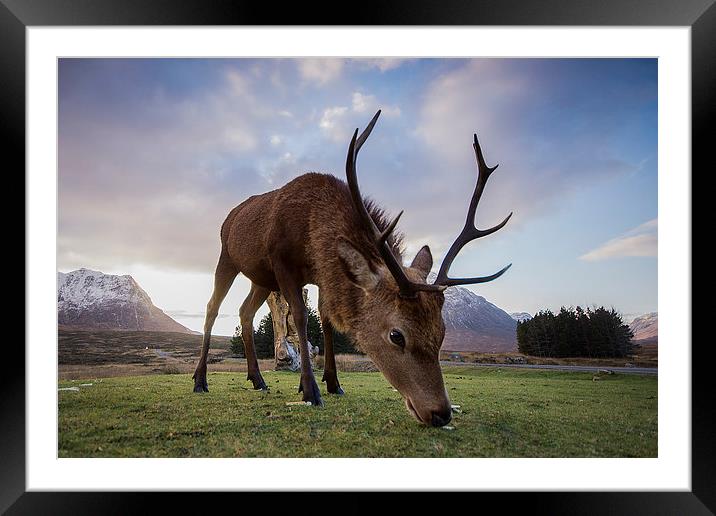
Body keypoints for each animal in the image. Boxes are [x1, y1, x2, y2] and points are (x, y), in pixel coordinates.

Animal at [193, 110, 512, 428]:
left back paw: (257, 379)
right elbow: (300, 316)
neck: (313, 236)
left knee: (245, 311)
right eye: (397, 335)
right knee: (212, 307)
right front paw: (310, 390)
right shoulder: (283, 262)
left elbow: (326, 320)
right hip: (227, 257)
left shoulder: (322, 274)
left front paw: (333, 383)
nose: (440, 412)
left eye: (442, 331)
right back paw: (200, 380)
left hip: (260, 278)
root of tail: (230, 215)